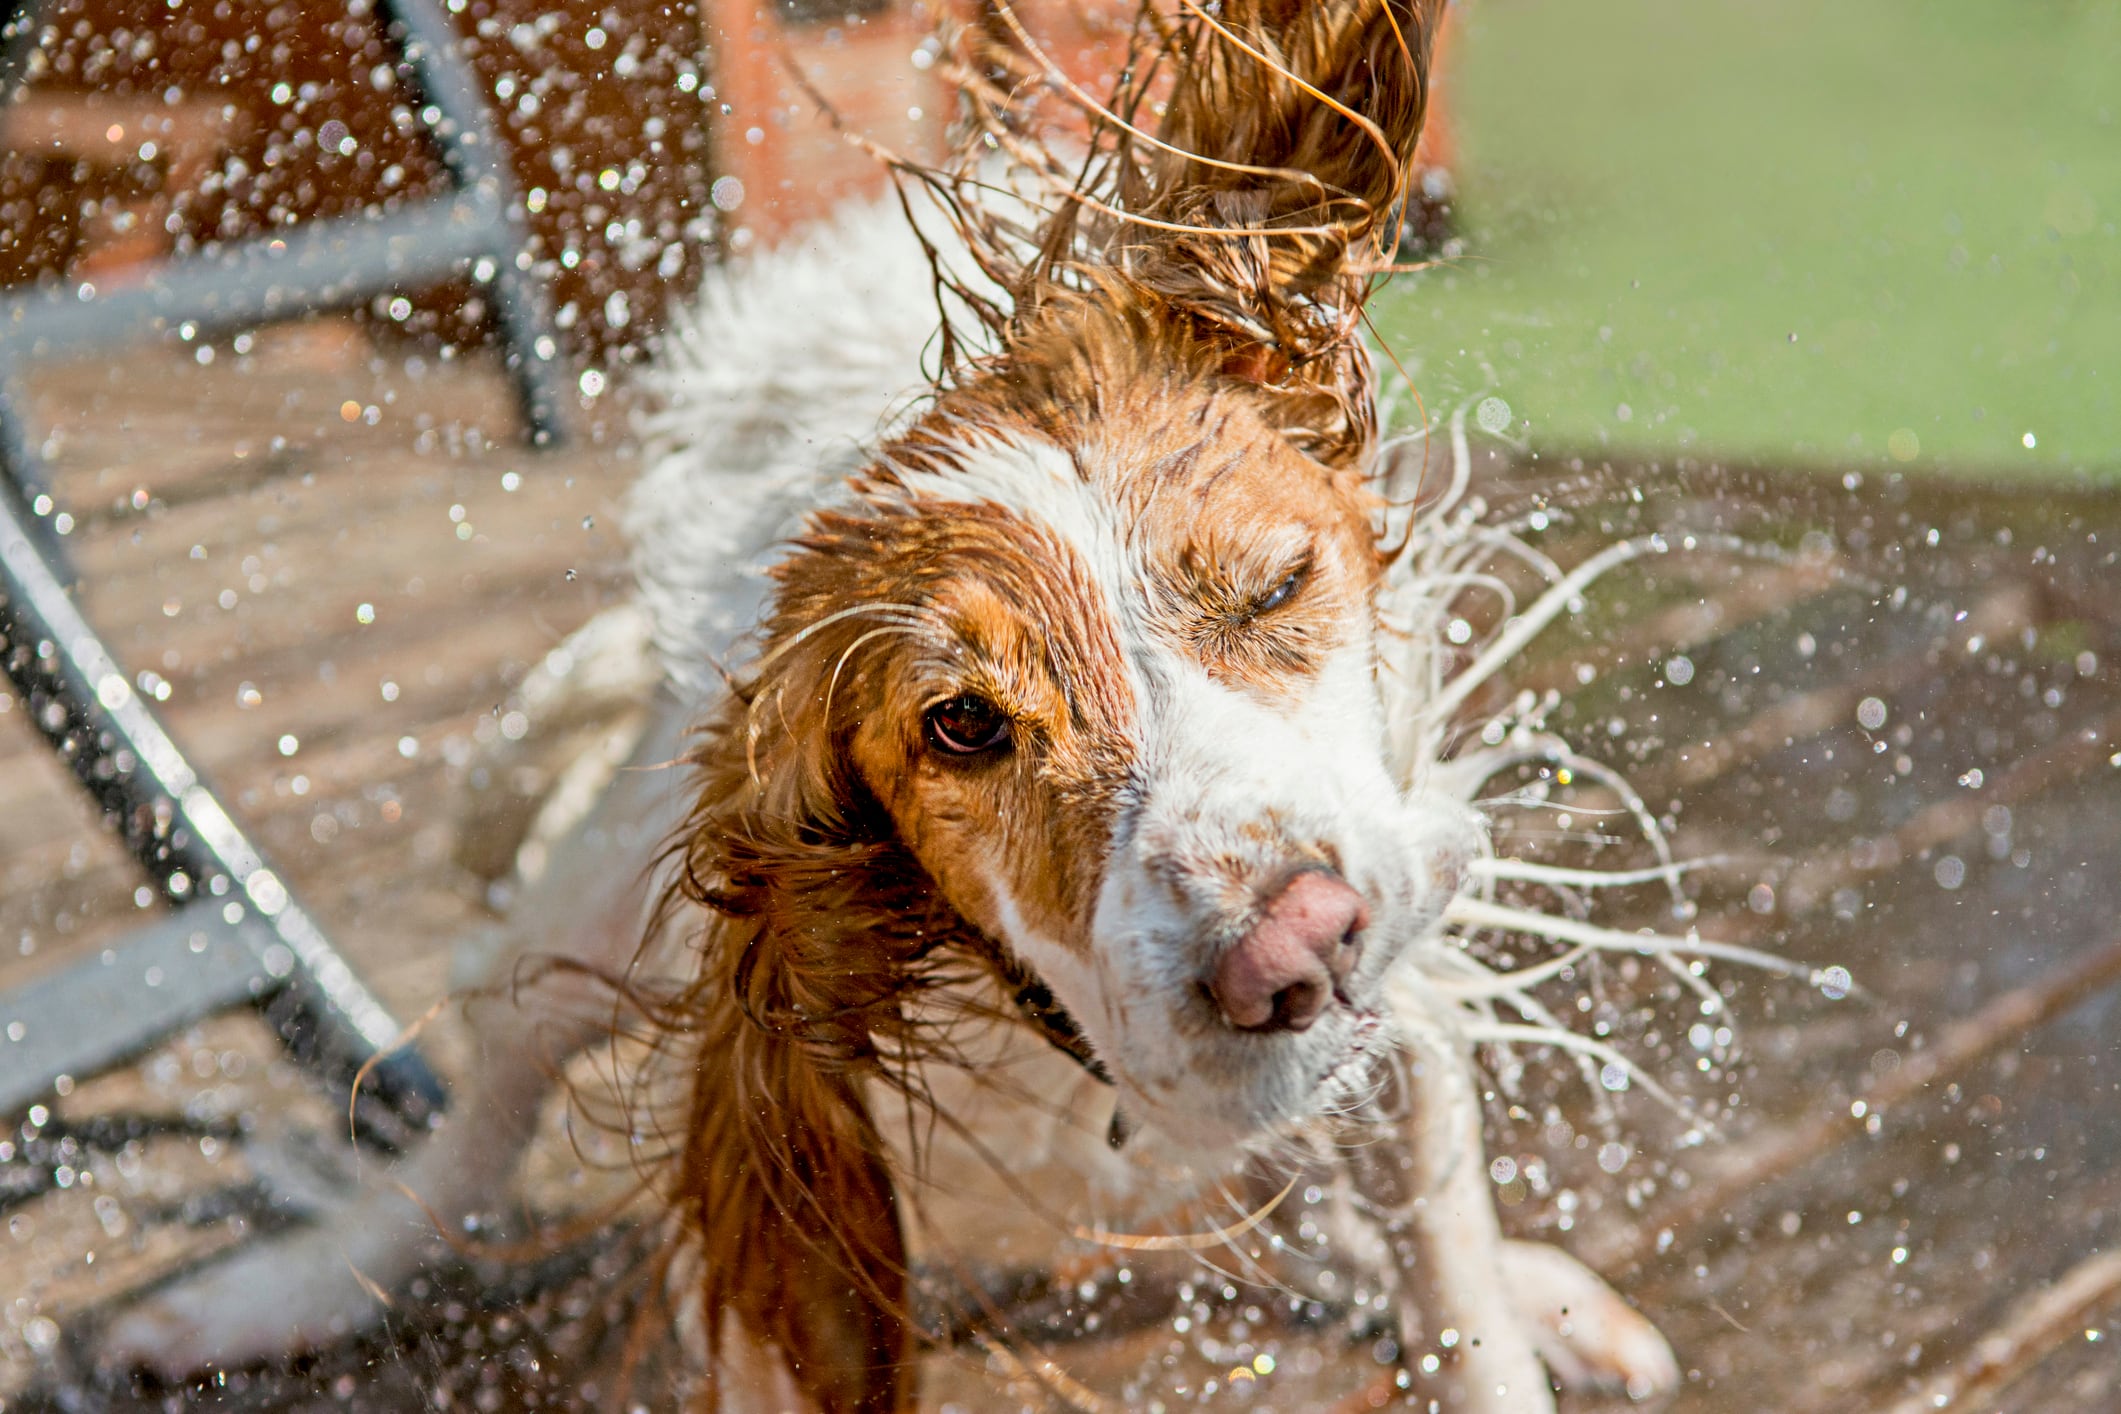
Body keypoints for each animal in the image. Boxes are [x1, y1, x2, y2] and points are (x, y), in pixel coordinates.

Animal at [103, 5, 1722, 1407]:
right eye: (963, 726)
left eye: (1273, 586)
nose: (1295, 948)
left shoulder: (1405, 976)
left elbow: (1447, 1268)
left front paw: (1499, 1304)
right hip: (586, 915)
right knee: (474, 1116)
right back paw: (287, 1288)